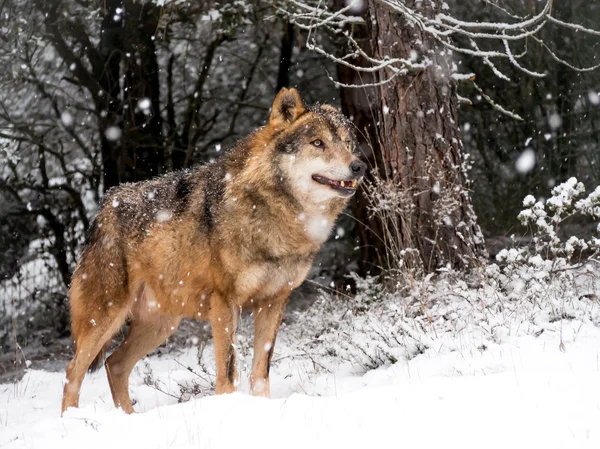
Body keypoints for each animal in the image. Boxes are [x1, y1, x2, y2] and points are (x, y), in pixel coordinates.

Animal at [61, 87, 366, 412]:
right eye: (318, 143)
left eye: (348, 144)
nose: (359, 166)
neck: (276, 216)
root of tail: (105, 206)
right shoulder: (224, 301)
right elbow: (229, 372)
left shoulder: (275, 300)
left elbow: (261, 371)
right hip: (104, 319)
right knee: (73, 372)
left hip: (161, 325)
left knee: (114, 364)